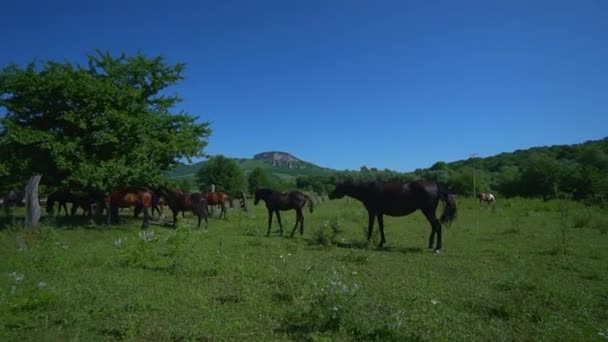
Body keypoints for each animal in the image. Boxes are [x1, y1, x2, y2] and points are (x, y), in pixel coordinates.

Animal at [328, 180, 456, 252]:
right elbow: (381, 227)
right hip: (428, 212)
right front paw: (381, 242)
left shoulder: (372, 212)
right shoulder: (379, 213)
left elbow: (370, 227)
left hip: (428, 211)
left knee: (437, 226)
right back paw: (431, 244)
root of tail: (435, 185)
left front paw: (367, 242)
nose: (330, 195)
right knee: (434, 226)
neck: (368, 190)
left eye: (338, 187)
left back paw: (437, 247)